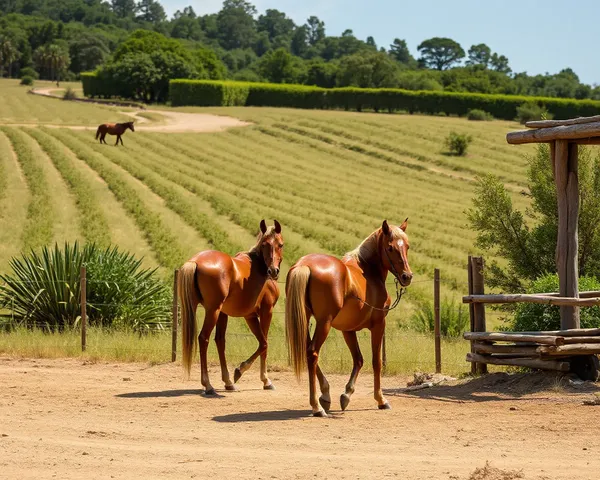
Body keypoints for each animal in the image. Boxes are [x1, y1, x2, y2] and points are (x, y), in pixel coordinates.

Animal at [178, 219, 284, 396]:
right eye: (264, 244)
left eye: (280, 245)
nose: (273, 271)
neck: (259, 266)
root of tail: (195, 261)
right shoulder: (262, 312)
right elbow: (264, 344)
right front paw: (258, 377)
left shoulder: (232, 314)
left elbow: (222, 341)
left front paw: (229, 381)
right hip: (212, 311)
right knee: (203, 338)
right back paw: (208, 385)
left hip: (201, 310)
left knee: (213, 340)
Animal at [286, 218, 412, 416]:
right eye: (390, 248)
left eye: (407, 246)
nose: (407, 276)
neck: (368, 270)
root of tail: (303, 266)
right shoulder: (379, 325)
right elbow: (376, 362)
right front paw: (381, 399)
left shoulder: (348, 330)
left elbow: (358, 359)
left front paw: (346, 395)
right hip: (324, 323)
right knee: (313, 354)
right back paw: (316, 406)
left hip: (305, 321)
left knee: (308, 351)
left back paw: (325, 395)